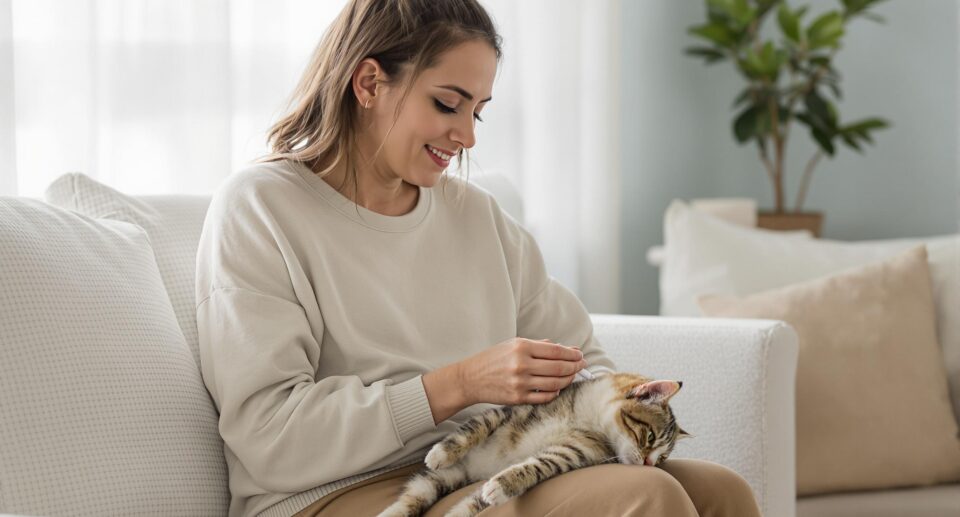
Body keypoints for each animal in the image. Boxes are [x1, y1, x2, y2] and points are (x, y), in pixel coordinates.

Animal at [376, 370, 688, 516]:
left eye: (662, 458)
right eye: (649, 437)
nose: (649, 463)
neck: (585, 417)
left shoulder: (574, 451)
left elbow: (537, 465)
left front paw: (501, 486)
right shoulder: (515, 409)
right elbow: (476, 426)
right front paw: (441, 452)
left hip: (451, 483)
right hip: (441, 477)